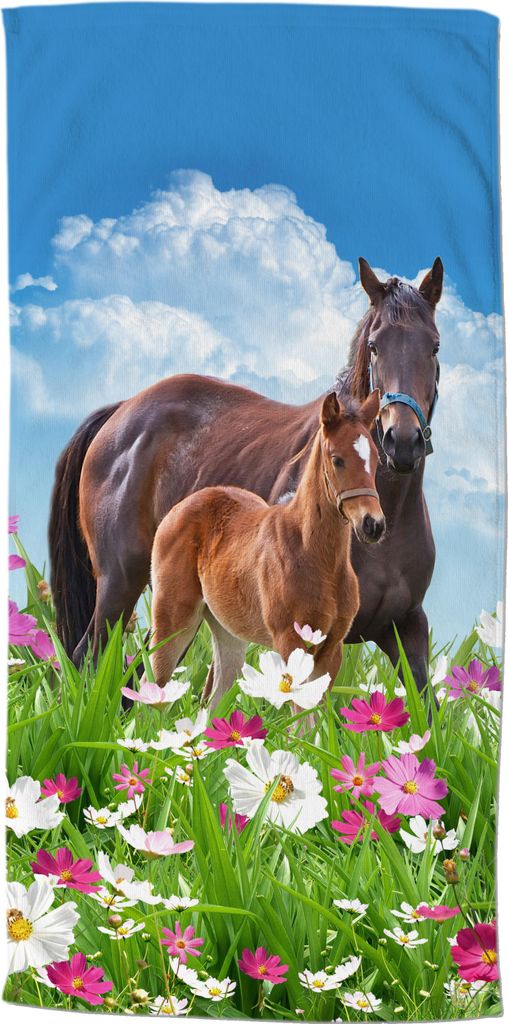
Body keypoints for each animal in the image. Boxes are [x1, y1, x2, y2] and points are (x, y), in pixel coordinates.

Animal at [147, 390, 384, 707]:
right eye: (337, 459)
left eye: (377, 459)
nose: (373, 524)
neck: (317, 559)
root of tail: (178, 508)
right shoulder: (291, 642)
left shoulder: (331, 649)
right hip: (173, 619)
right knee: (154, 692)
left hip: (228, 632)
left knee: (214, 701)